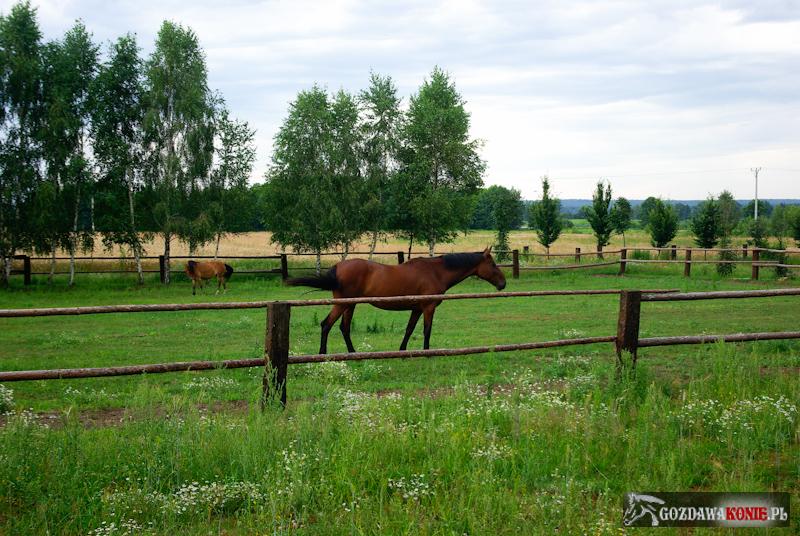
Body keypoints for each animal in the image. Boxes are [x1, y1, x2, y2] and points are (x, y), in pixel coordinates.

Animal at [284, 248, 504, 356]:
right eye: (493, 264)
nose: (503, 283)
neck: (436, 271)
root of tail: (338, 267)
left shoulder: (417, 309)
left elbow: (409, 330)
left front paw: (402, 350)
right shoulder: (428, 308)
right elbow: (427, 330)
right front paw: (427, 352)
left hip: (350, 305)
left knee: (344, 328)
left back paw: (353, 353)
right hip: (343, 303)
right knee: (326, 325)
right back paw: (323, 354)